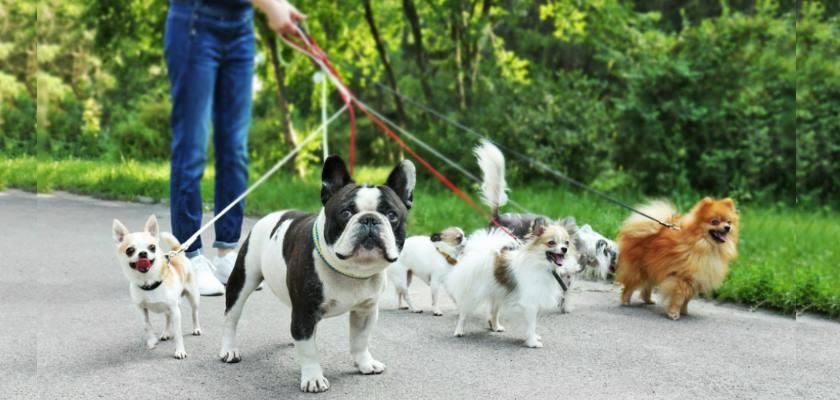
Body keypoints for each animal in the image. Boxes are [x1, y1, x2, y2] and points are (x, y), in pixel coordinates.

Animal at [113, 216, 202, 360]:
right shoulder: (141, 309)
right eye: (130, 250)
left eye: (152, 247)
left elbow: (178, 334)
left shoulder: (176, 311)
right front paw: (151, 341)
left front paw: (180, 351)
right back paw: (165, 333)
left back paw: (196, 329)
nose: (143, 253)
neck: (149, 283)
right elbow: (147, 325)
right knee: (167, 318)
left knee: (194, 313)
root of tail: (178, 253)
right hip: (168, 308)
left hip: (193, 298)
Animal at [217, 156, 414, 394]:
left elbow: (360, 340)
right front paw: (313, 378)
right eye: (346, 213)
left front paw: (365, 364)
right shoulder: (305, 312)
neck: (351, 271)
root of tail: (271, 217)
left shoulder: (365, 310)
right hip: (243, 279)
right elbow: (309, 351)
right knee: (231, 317)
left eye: (392, 215)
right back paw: (229, 349)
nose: (369, 219)